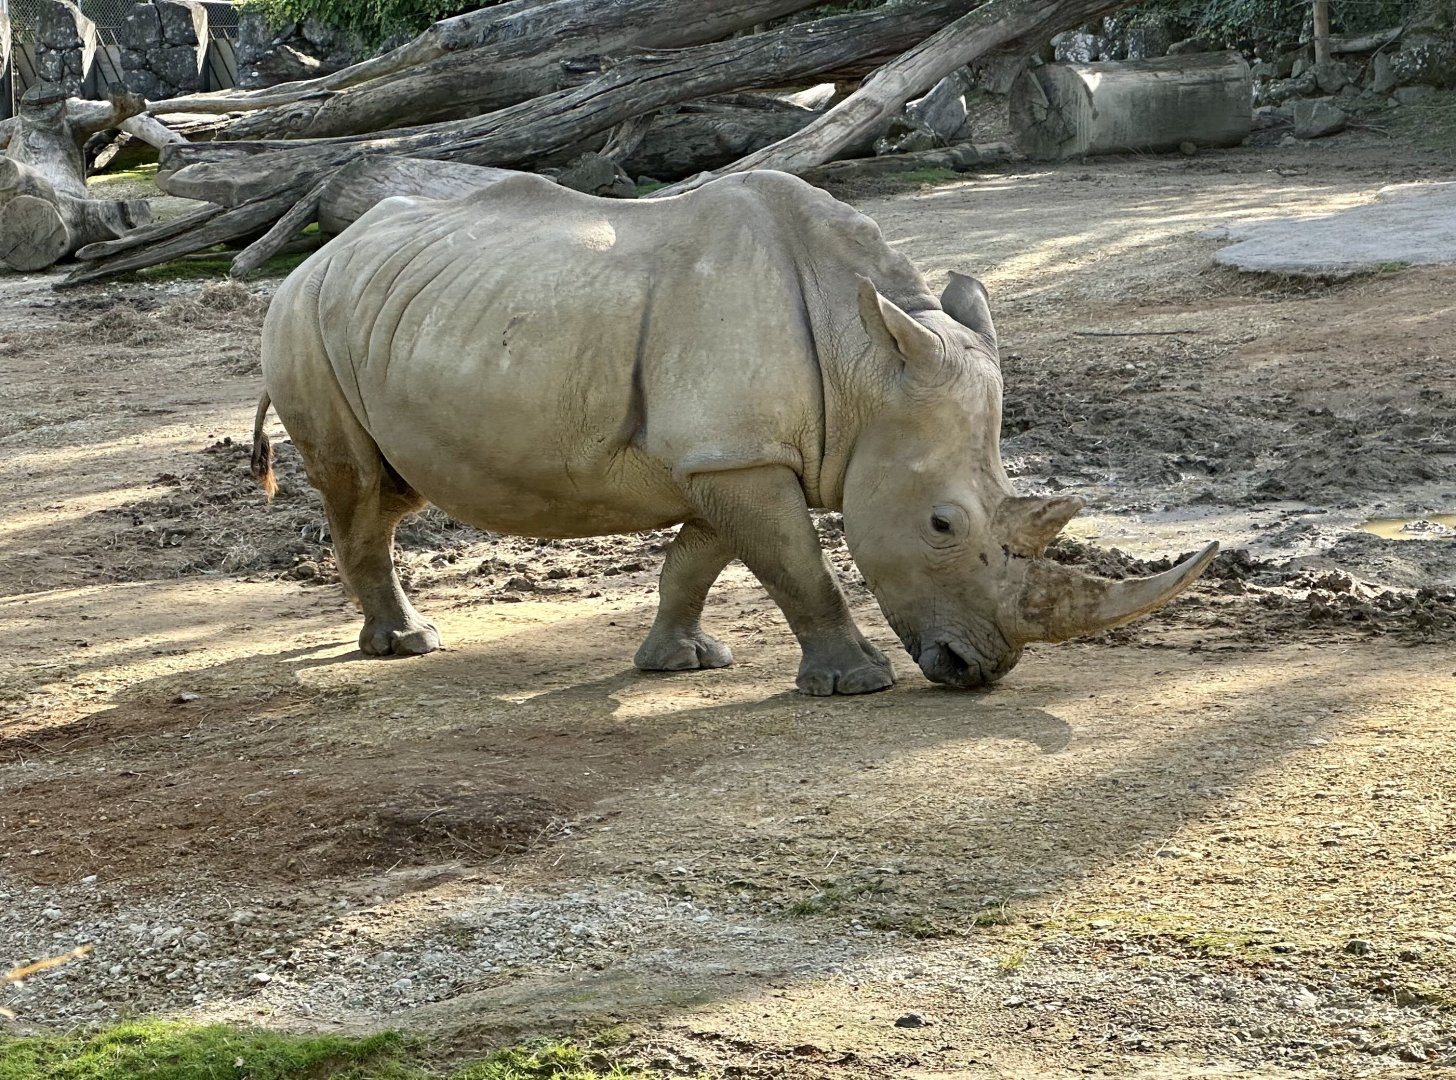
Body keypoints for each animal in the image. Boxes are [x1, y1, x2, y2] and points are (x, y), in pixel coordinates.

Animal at [251, 170, 1215, 694]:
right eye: (943, 525)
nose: (979, 670)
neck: (867, 358)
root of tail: (316, 257)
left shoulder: (727, 452)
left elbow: (703, 557)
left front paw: (682, 663)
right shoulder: (735, 454)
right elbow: (798, 565)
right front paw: (856, 683)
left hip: (392, 313)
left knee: (391, 494)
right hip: (300, 319)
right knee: (359, 488)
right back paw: (406, 646)